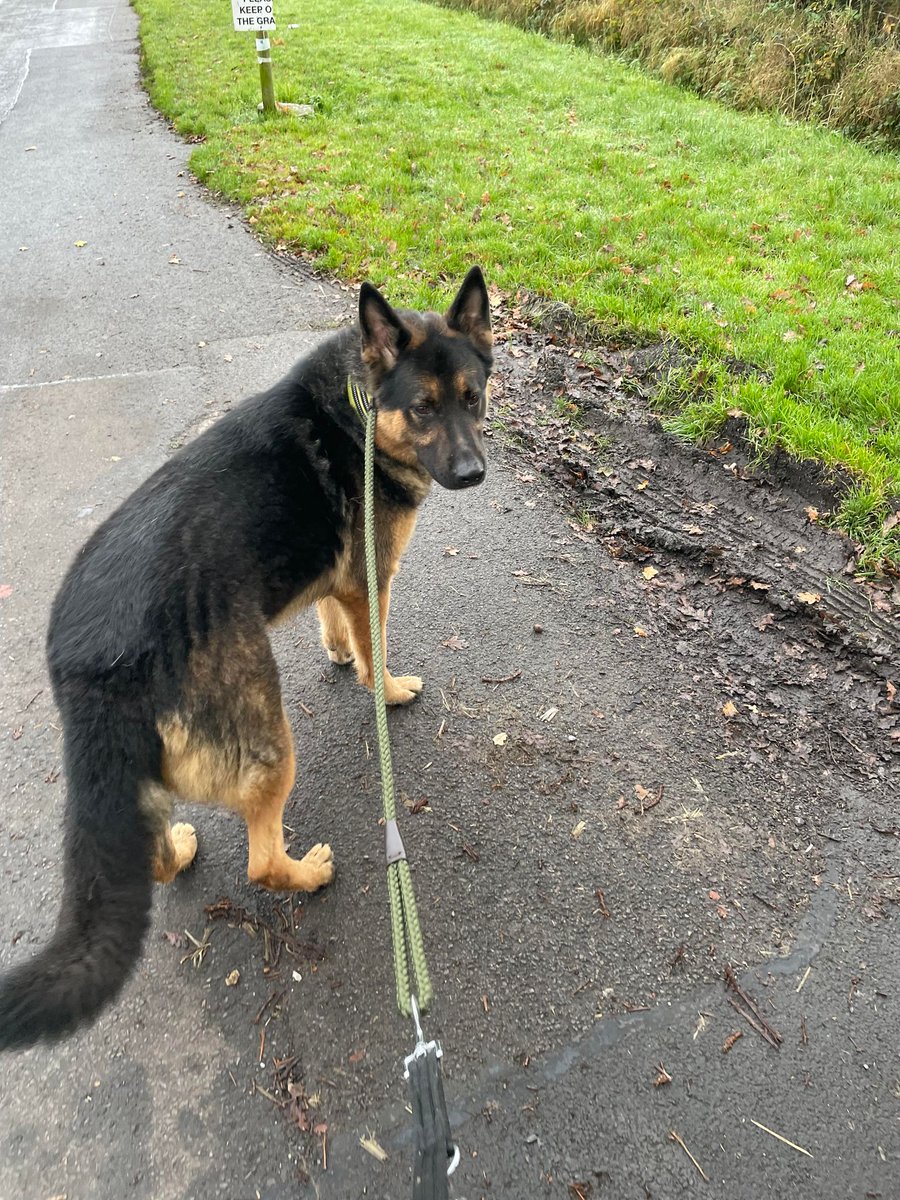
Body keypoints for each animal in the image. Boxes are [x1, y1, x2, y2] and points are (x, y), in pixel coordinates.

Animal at [0, 265, 494, 1051]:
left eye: (472, 399)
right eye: (423, 408)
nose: (474, 472)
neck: (358, 406)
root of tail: (89, 664)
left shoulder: (339, 578)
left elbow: (334, 619)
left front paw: (337, 651)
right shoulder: (371, 579)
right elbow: (375, 647)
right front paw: (383, 689)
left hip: (144, 778)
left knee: (152, 857)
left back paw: (180, 850)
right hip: (268, 743)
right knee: (260, 862)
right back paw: (307, 873)